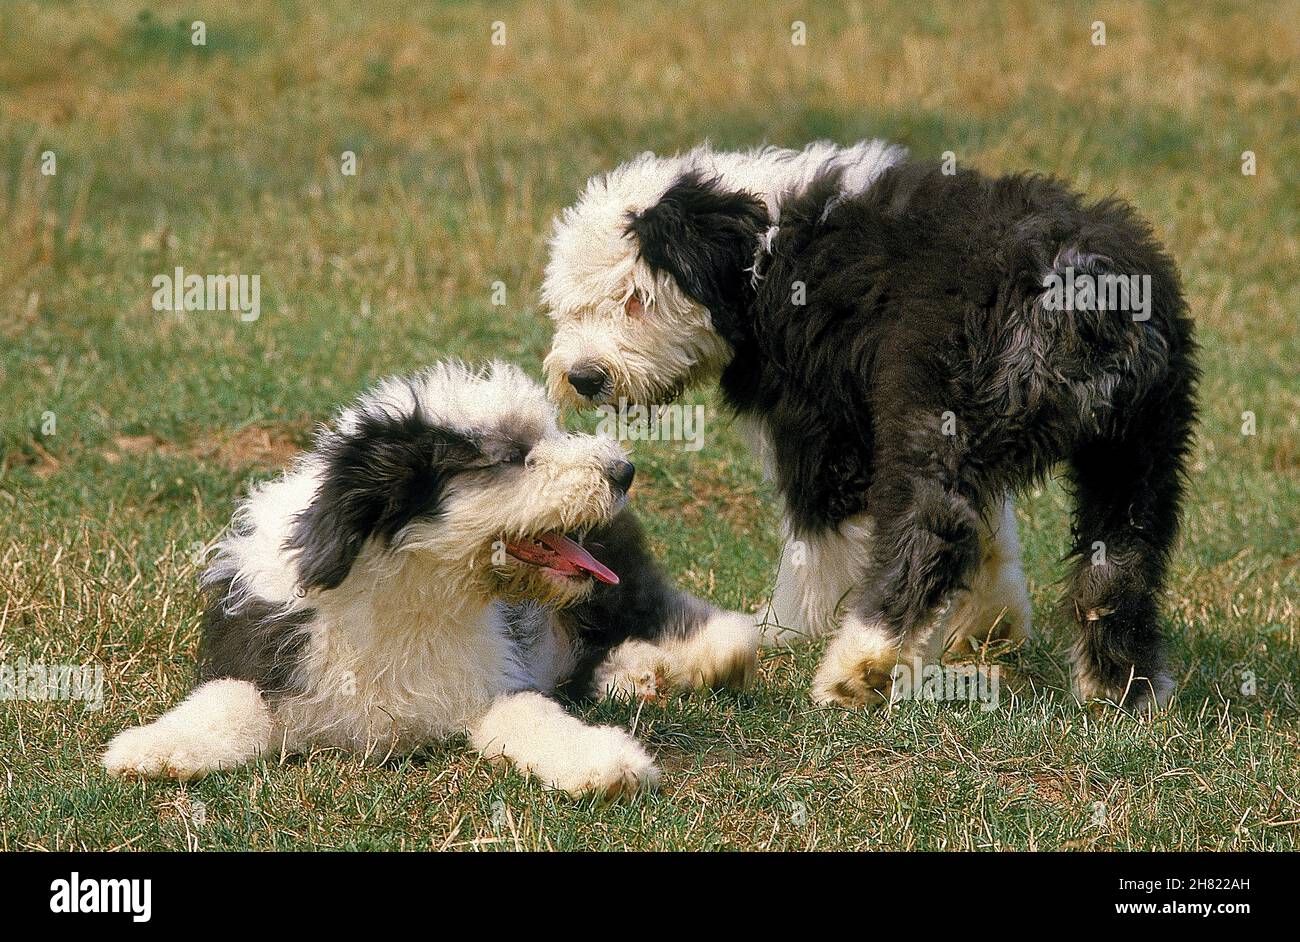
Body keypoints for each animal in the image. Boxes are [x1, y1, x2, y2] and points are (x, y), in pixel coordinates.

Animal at [106, 361, 759, 795]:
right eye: (513, 456)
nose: (624, 470)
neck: (416, 588)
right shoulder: (266, 653)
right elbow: (229, 700)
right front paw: (145, 749)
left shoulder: (493, 678)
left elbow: (528, 715)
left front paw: (605, 762)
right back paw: (637, 675)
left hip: (611, 579)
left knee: (666, 612)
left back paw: (712, 655)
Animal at [540, 143, 1196, 706]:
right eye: (570, 308)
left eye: (635, 298)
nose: (584, 377)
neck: (760, 254)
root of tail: (1080, 287)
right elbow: (993, 529)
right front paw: (993, 621)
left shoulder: (819, 428)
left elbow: (816, 542)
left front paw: (781, 632)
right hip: (1138, 446)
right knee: (1122, 559)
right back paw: (1122, 686)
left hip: (941, 411)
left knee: (931, 528)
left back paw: (859, 664)